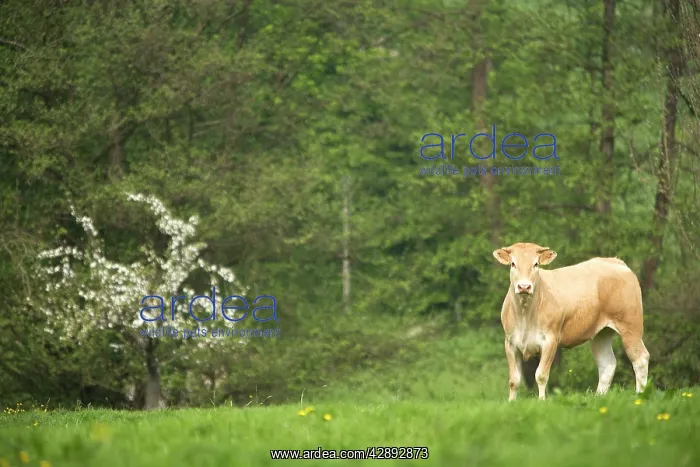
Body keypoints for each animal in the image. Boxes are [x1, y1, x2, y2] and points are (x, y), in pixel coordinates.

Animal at [492, 242, 650, 401]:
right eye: (513, 264)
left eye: (535, 264)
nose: (524, 287)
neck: (525, 314)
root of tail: (615, 261)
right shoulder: (510, 342)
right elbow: (514, 379)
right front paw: (511, 402)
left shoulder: (550, 340)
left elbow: (541, 375)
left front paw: (541, 401)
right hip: (602, 333)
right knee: (607, 364)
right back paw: (598, 397)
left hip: (630, 326)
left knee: (640, 359)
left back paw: (640, 395)